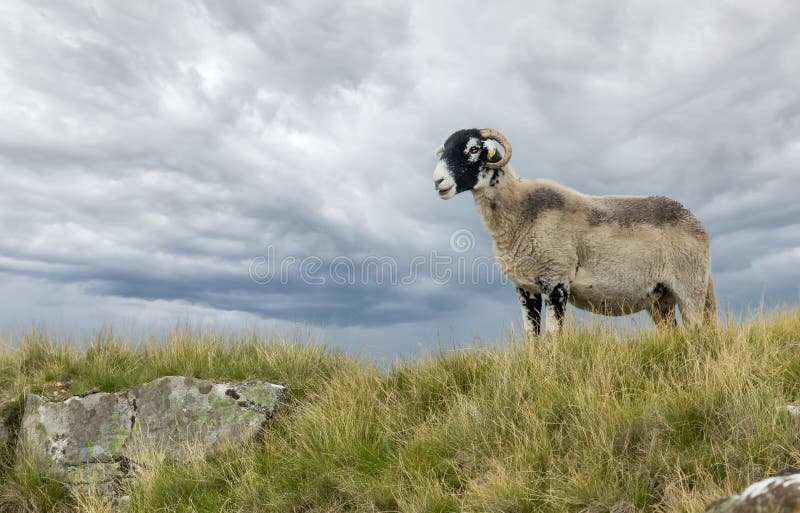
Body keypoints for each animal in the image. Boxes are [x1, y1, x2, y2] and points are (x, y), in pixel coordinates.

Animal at [434, 128, 716, 334]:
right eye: (443, 151)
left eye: (473, 149)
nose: (438, 182)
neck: (522, 209)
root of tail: (695, 222)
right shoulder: (525, 287)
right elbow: (532, 337)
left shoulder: (557, 280)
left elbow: (552, 335)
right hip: (660, 298)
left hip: (690, 287)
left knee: (696, 330)